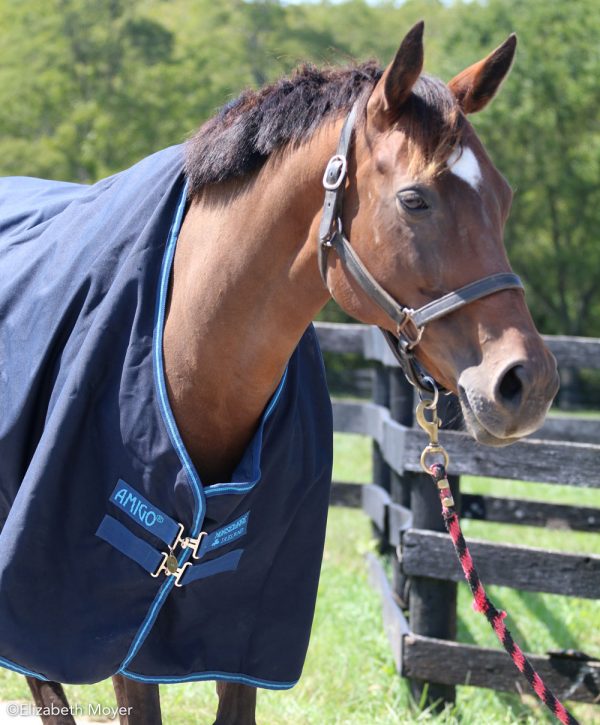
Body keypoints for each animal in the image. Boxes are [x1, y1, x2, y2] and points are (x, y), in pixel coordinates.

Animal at [1, 21, 559, 725]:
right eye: (414, 199)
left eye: (504, 198)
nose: (527, 382)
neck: (193, 351)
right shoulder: (114, 619)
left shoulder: (242, 624)